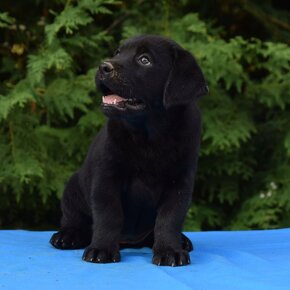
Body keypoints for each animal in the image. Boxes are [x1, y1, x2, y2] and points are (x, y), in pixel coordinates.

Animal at [50, 35, 208, 266]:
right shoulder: (106, 177)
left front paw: (170, 250)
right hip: (73, 188)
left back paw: (181, 241)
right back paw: (67, 235)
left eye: (144, 60)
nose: (103, 67)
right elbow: (109, 216)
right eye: (117, 52)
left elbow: (169, 220)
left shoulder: (179, 183)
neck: (149, 135)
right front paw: (102, 249)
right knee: (75, 220)